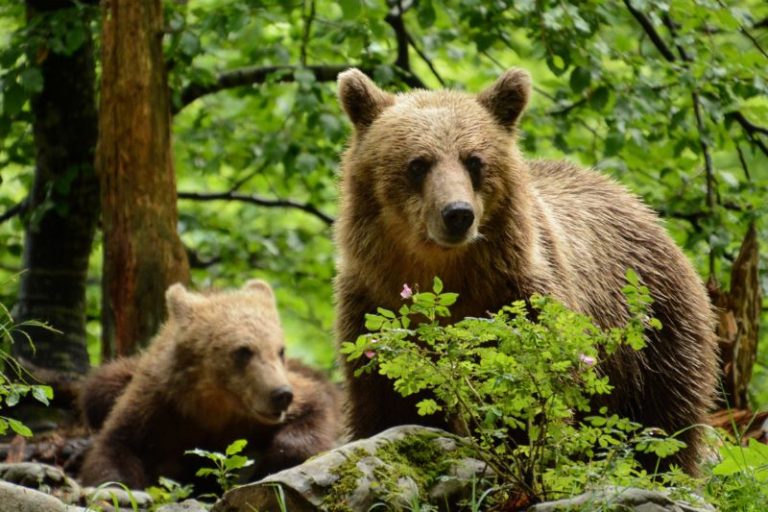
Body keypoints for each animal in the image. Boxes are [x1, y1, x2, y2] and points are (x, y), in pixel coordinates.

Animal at [332, 69, 716, 476]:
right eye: (418, 163)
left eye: (474, 161)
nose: (458, 213)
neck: (443, 271)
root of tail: (640, 205)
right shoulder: (375, 304)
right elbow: (386, 399)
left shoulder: (518, 296)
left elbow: (528, 389)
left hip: (651, 328)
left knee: (665, 420)